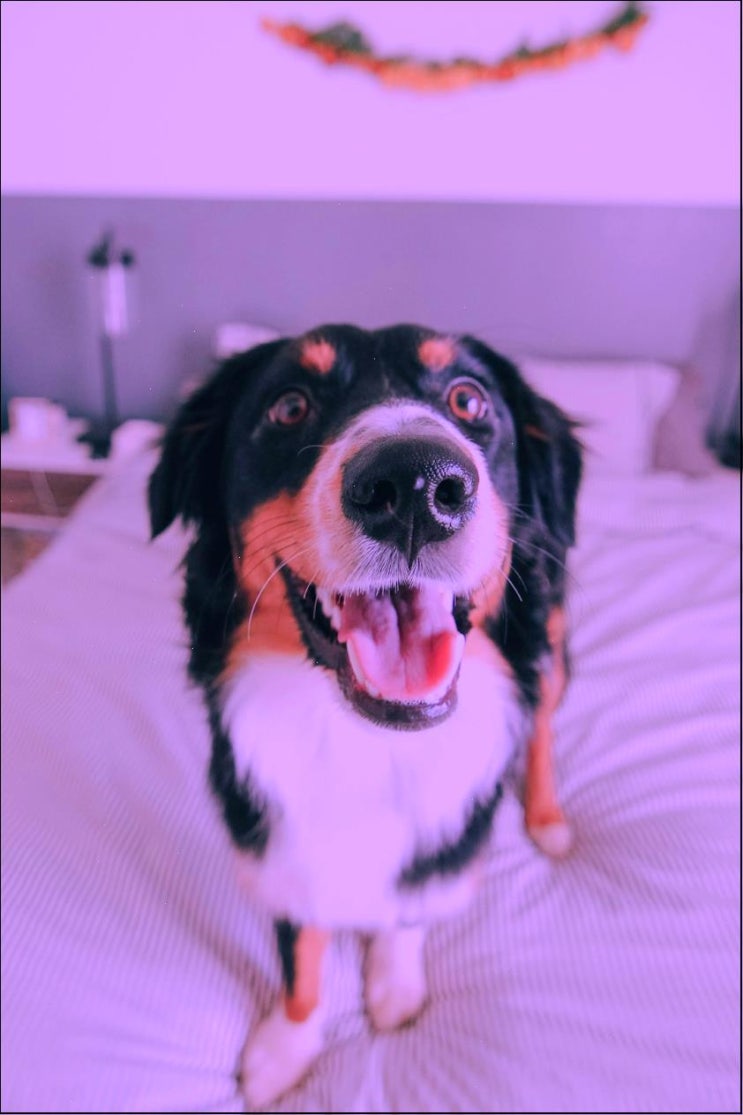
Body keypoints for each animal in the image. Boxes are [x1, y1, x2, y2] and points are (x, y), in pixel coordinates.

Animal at [148, 324, 582, 1107]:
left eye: (468, 399)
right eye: (289, 406)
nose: (415, 486)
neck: (364, 741)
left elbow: (407, 905)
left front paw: (393, 985)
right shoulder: (276, 840)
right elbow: (301, 954)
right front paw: (287, 1047)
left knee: (541, 716)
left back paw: (547, 818)